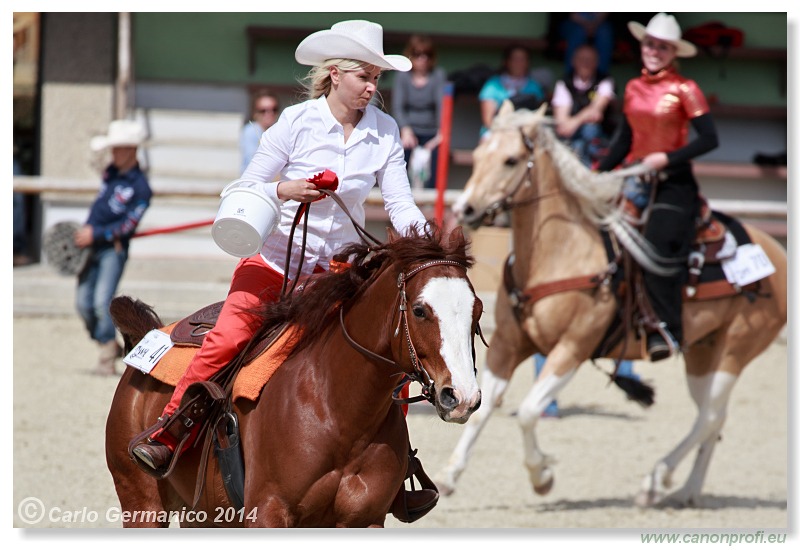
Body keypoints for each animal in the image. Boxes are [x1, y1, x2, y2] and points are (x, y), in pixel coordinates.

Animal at [105, 226, 482, 528]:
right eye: (419, 310)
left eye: (477, 311)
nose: (462, 397)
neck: (338, 412)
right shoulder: (268, 512)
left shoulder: (365, 520)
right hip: (143, 506)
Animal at [444, 102, 788, 508]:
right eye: (478, 155)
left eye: (511, 160)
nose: (465, 209)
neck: (560, 252)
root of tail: (777, 252)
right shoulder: (506, 346)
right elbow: (483, 409)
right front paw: (449, 475)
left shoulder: (572, 349)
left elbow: (527, 412)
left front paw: (542, 476)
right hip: (703, 355)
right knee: (713, 418)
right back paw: (688, 490)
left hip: (734, 352)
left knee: (708, 418)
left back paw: (657, 480)